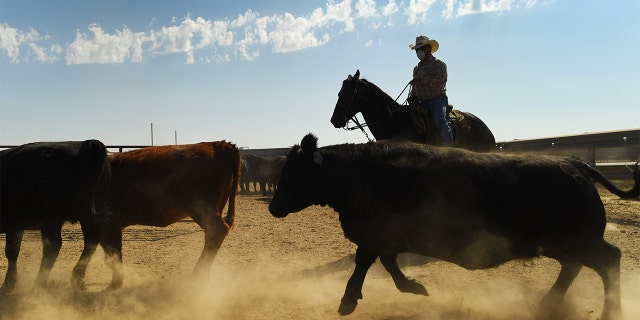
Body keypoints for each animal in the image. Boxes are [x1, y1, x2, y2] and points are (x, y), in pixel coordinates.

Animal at [0, 140, 111, 292]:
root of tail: (86, 143)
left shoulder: (15, 223)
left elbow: (11, 250)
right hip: (87, 214)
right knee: (90, 240)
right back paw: (76, 279)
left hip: (51, 219)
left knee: (52, 246)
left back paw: (39, 283)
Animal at [97, 141, 240, 288]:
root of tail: (219, 144)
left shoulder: (109, 224)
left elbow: (113, 254)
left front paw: (115, 283)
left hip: (201, 209)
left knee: (216, 231)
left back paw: (196, 277)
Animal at [268, 134, 636, 320]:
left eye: (292, 174)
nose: (273, 207)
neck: (361, 172)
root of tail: (574, 164)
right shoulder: (385, 238)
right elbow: (386, 265)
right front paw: (413, 287)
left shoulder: (376, 235)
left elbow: (365, 264)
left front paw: (348, 300)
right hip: (559, 243)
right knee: (573, 267)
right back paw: (547, 304)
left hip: (579, 239)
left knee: (609, 260)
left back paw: (611, 312)